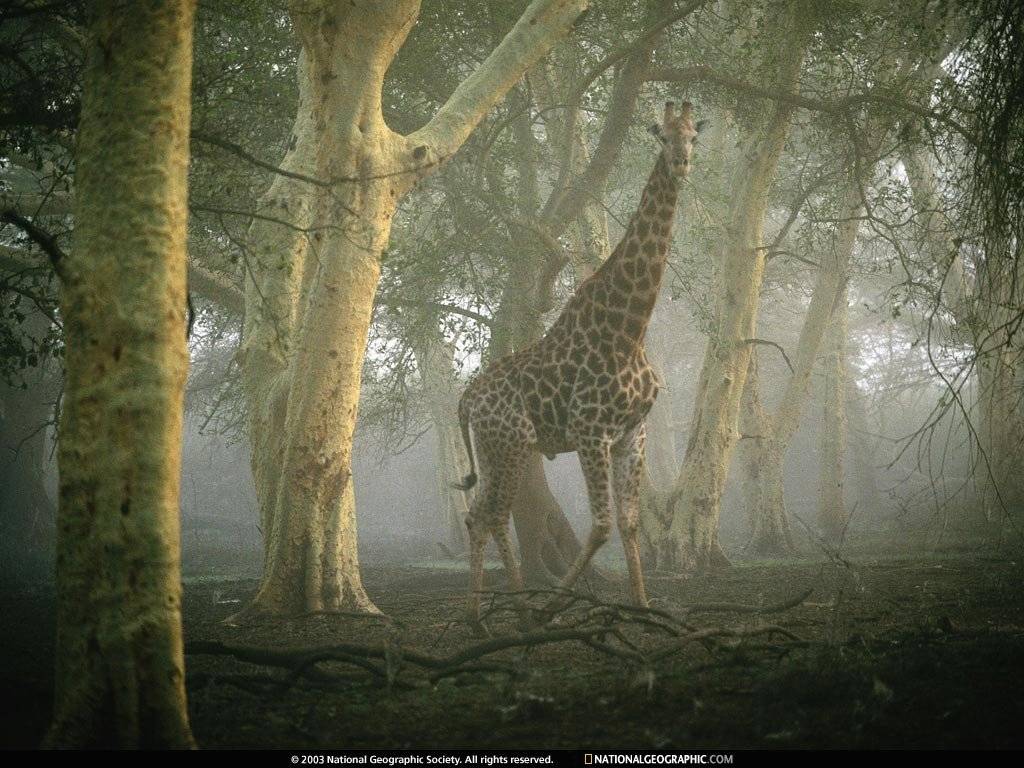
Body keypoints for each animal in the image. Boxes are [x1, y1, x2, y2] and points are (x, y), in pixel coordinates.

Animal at [456, 101, 702, 629]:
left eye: (695, 134)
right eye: (661, 133)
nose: (681, 162)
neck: (630, 329)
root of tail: (465, 400)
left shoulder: (633, 432)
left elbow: (628, 525)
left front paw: (644, 607)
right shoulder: (591, 430)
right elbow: (602, 526)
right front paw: (553, 606)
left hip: (494, 447)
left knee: (479, 514)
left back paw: (486, 611)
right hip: (513, 443)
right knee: (492, 514)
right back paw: (512, 609)